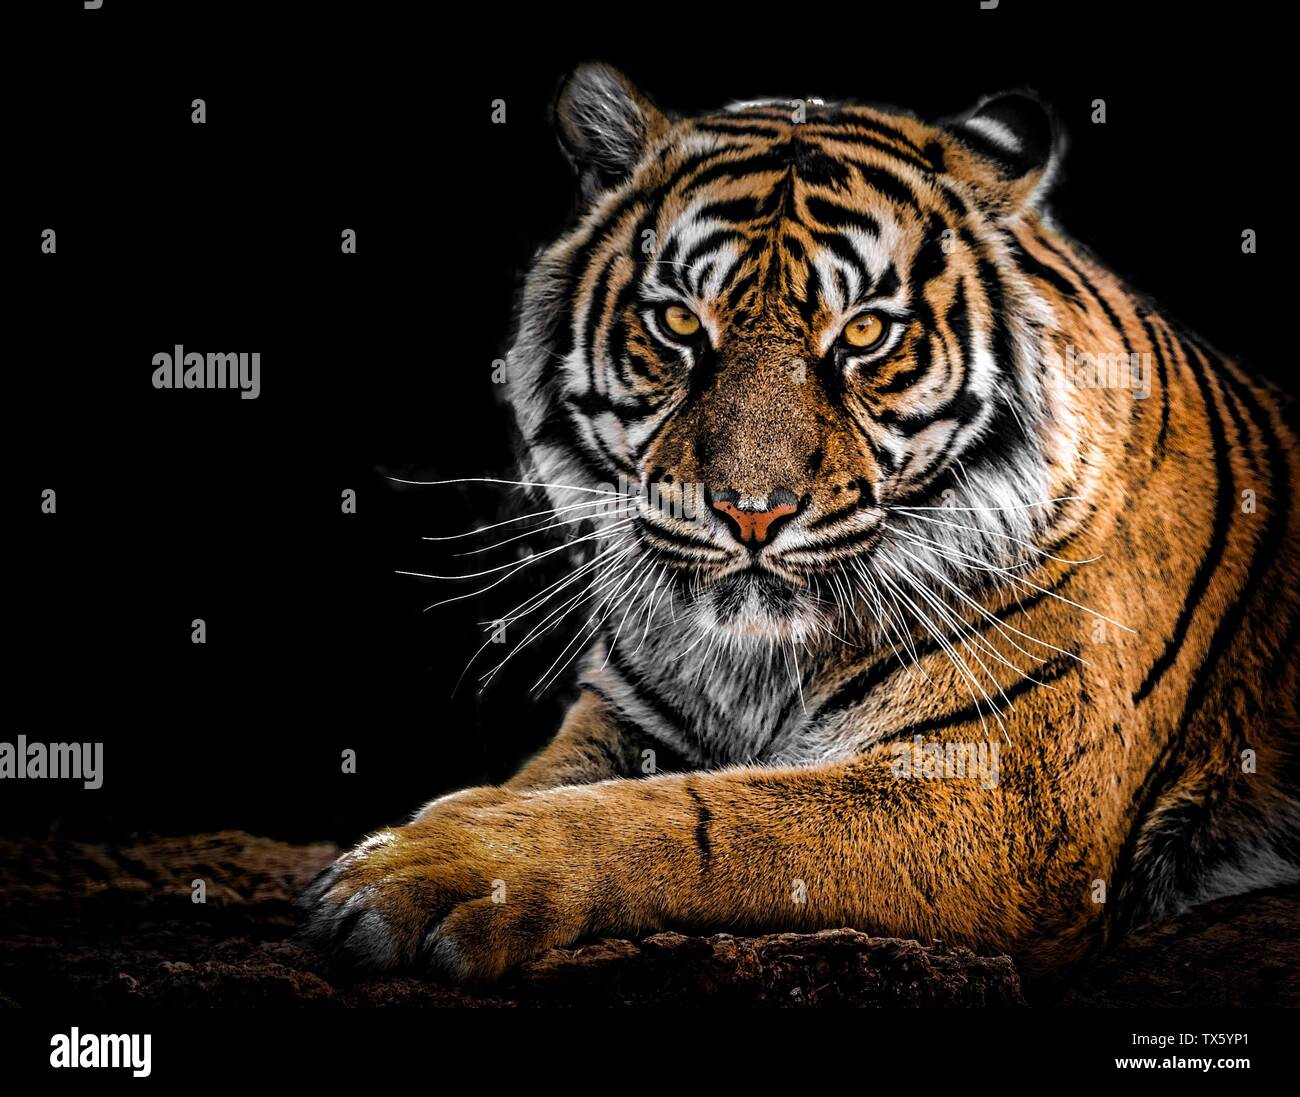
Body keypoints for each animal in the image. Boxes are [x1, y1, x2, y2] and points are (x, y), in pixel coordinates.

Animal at [300, 63, 1300, 984]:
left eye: (863, 333)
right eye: (677, 324)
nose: (754, 513)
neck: (757, 663)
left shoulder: (998, 801)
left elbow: (698, 820)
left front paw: (429, 872)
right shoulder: (624, 716)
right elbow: (545, 785)